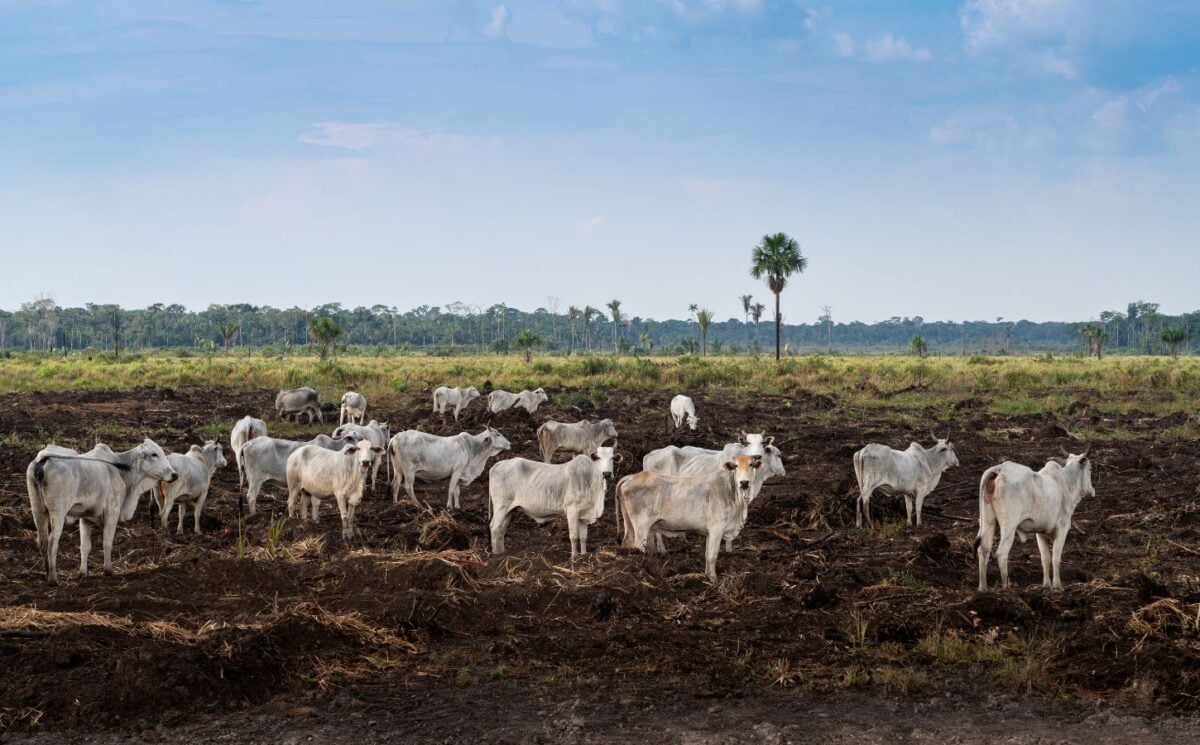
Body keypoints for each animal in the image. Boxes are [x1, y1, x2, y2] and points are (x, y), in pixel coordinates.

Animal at [26, 439, 177, 583]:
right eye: (154, 454)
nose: (174, 474)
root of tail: (42, 459)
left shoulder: (85, 517)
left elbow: (85, 547)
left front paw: (83, 573)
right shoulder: (113, 510)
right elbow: (107, 542)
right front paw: (108, 570)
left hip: (38, 510)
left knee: (43, 541)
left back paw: (47, 574)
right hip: (58, 512)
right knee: (52, 542)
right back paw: (53, 579)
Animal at [487, 443, 619, 554]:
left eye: (612, 458)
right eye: (598, 457)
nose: (607, 474)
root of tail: (498, 464)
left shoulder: (583, 514)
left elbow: (583, 538)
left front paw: (583, 555)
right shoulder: (572, 510)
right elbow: (574, 536)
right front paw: (574, 558)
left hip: (509, 510)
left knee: (501, 529)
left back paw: (501, 552)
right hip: (501, 506)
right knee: (494, 527)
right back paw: (496, 555)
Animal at [619, 453, 758, 580]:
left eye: (751, 464)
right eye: (736, 466)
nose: (744, 482)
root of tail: (633, 476)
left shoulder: (709, 532)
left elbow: (707, 554)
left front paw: (707, 575)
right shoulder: (716, 528)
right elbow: (712, 555)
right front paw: (713, 579)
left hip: (631, 525)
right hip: (641, 526)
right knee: (638, 547)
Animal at [974, 446, 1099, 592]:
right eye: (1090, 469)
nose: (1092, 491)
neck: (1066, 483)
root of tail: (1000, 469)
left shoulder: (1040, 532)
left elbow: (1045, 558)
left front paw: (1046, 585)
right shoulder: (1062, 528)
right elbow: (1056, 557)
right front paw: (1057, 585)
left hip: (988, 520)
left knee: (983, 549)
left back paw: (983, 588)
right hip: (1009, 524)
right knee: (1001, 553)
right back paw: (1007, 587)